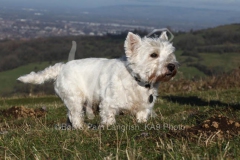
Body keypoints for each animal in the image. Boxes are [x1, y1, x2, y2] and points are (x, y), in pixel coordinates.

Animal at [17, 31, 178, 129]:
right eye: (153, 55)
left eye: (170, 54)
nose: (171, 66)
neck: (137, 80)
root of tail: (61, 68)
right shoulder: (108, 103)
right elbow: (109, 118)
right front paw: (108, 127)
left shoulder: (145, 106)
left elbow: (142, 117)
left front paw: (141, 124)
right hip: (75, 98)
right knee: (74, 115)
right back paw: (82, 128)